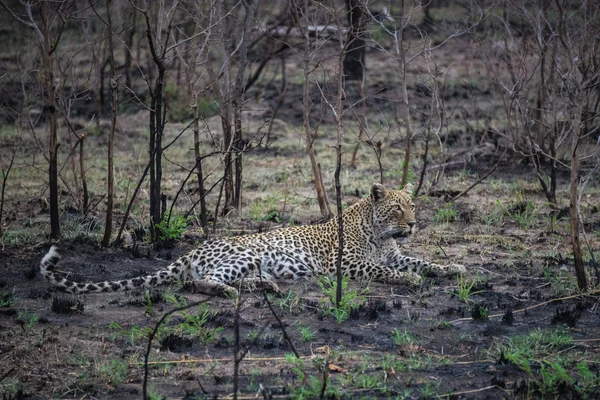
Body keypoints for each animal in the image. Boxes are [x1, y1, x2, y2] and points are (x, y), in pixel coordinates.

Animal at [39, 182, 466, 296]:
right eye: (396, 209)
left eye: (413, 205)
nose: (413, 224)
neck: (380, 234)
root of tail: (198, 246)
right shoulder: (344, 263)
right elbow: (384, 270)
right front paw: (410, 280)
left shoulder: (395, 253)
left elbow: (421, 260)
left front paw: (453, 268)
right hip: (243, 254)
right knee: (198, 280)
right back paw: (227, 291)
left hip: (255, 262)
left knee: (242, 278)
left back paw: (270, 287)